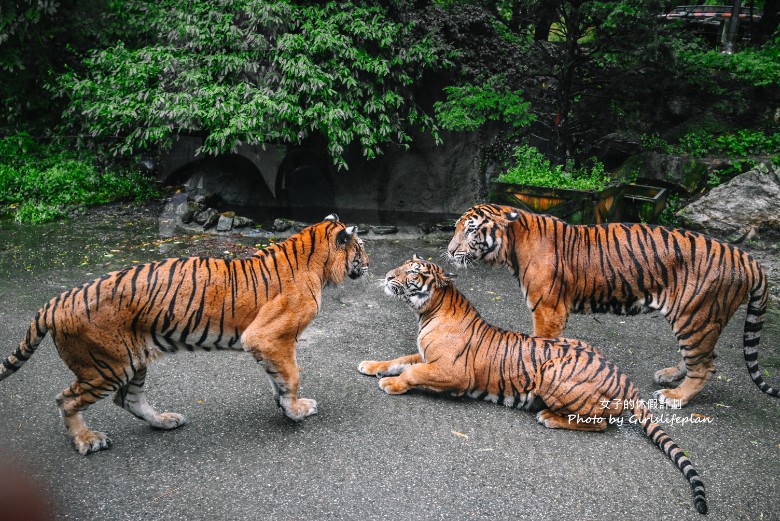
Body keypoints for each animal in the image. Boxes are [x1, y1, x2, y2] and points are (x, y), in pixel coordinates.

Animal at [0, 213, 368, 452]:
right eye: (361, 248)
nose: (368, 265)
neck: (318, 263)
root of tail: (54, 301)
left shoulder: (271, 344)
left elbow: (278, 377)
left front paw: (284, 405)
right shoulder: (268, 337)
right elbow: (291, 375)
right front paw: (296, 410)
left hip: (133, 359)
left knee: (128, 398)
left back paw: (165, 421)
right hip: (107, 366)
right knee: (67, 400)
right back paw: (88, 440)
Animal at [358, 256, 708, 512]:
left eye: (413, 271)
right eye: (405, 265)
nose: (388, 276)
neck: (428, 311)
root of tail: (621, 373)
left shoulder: (452, 371)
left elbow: (412, 373)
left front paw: (391, 384)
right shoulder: (424, 357)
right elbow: (398, 360)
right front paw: (371, 366)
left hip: (553, 377)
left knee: (599, 423)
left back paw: (548, 417)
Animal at [444, 203, 780, 406]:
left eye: (471, 230)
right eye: (456, 227)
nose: (448, 251)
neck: (512, 245)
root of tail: (749, 259)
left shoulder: (548, 310)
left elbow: (540, 347)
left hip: (695, 316)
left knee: (706, 365)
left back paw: (674, 396)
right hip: (697, 320)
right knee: (702, 356)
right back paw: (670, 375)